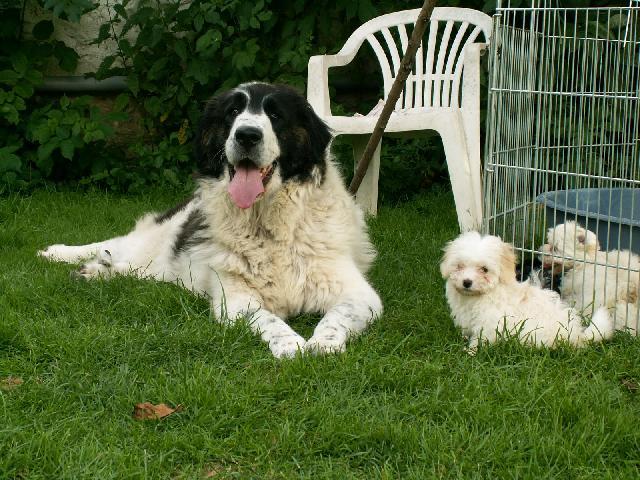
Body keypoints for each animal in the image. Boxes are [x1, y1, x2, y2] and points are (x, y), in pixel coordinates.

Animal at [40, 82, 382, 356]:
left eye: (275, 115)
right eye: (233, 112)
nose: (247, 135)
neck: (267, 224)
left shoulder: (358, 293)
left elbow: (337, 316)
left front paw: (323, 343)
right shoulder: (236, 299)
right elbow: (269, 319)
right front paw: (290, 345)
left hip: (162, 270)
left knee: (134, 269)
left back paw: (96, 272)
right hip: (153, 242)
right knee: (110, 246)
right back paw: (59, 254)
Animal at [440, 231, 616, 350]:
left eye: (484, 269)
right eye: (459, 266)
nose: (467, 282)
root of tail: (577, 335)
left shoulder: (490, 322)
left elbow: (481, 338)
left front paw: (471, 351)